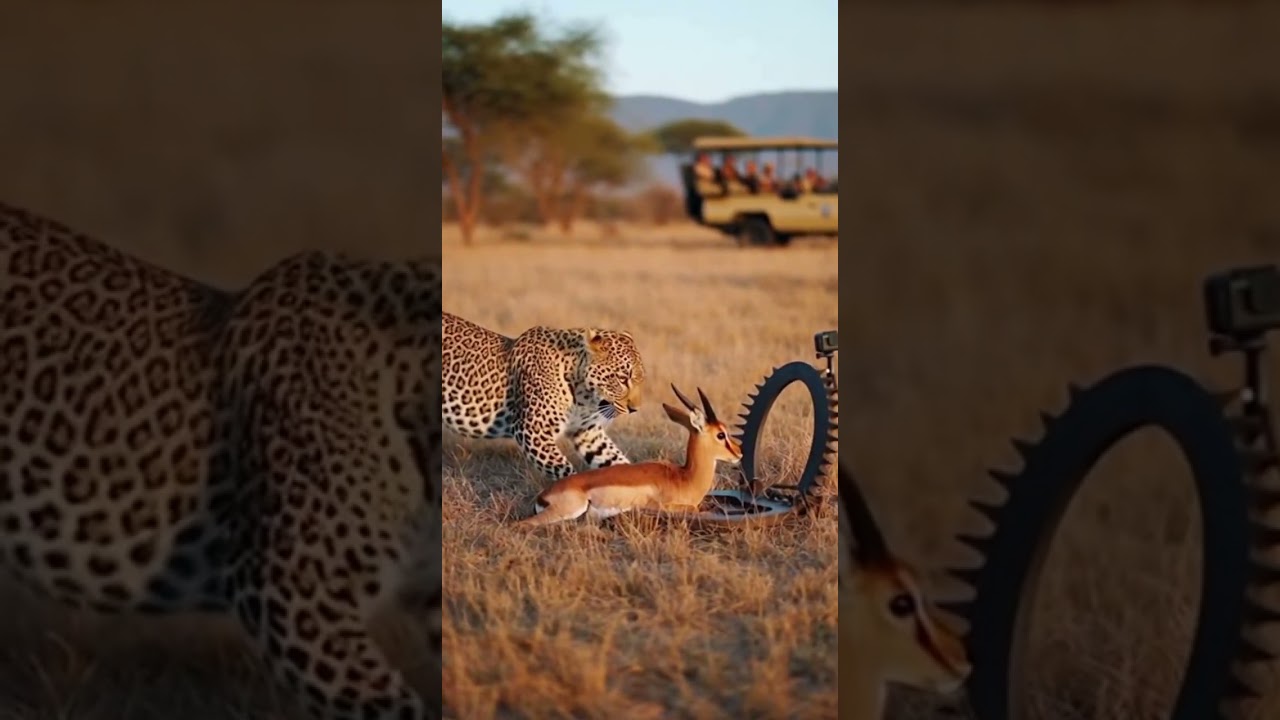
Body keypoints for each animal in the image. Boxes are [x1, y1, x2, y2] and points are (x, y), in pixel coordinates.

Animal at [442, 312, 645, 482]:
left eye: (639, 379)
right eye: (622, 379)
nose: (634, 409)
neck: (583, 395)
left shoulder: (587, 432)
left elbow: (616, 460)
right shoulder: (532, 431)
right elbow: (565, 472)